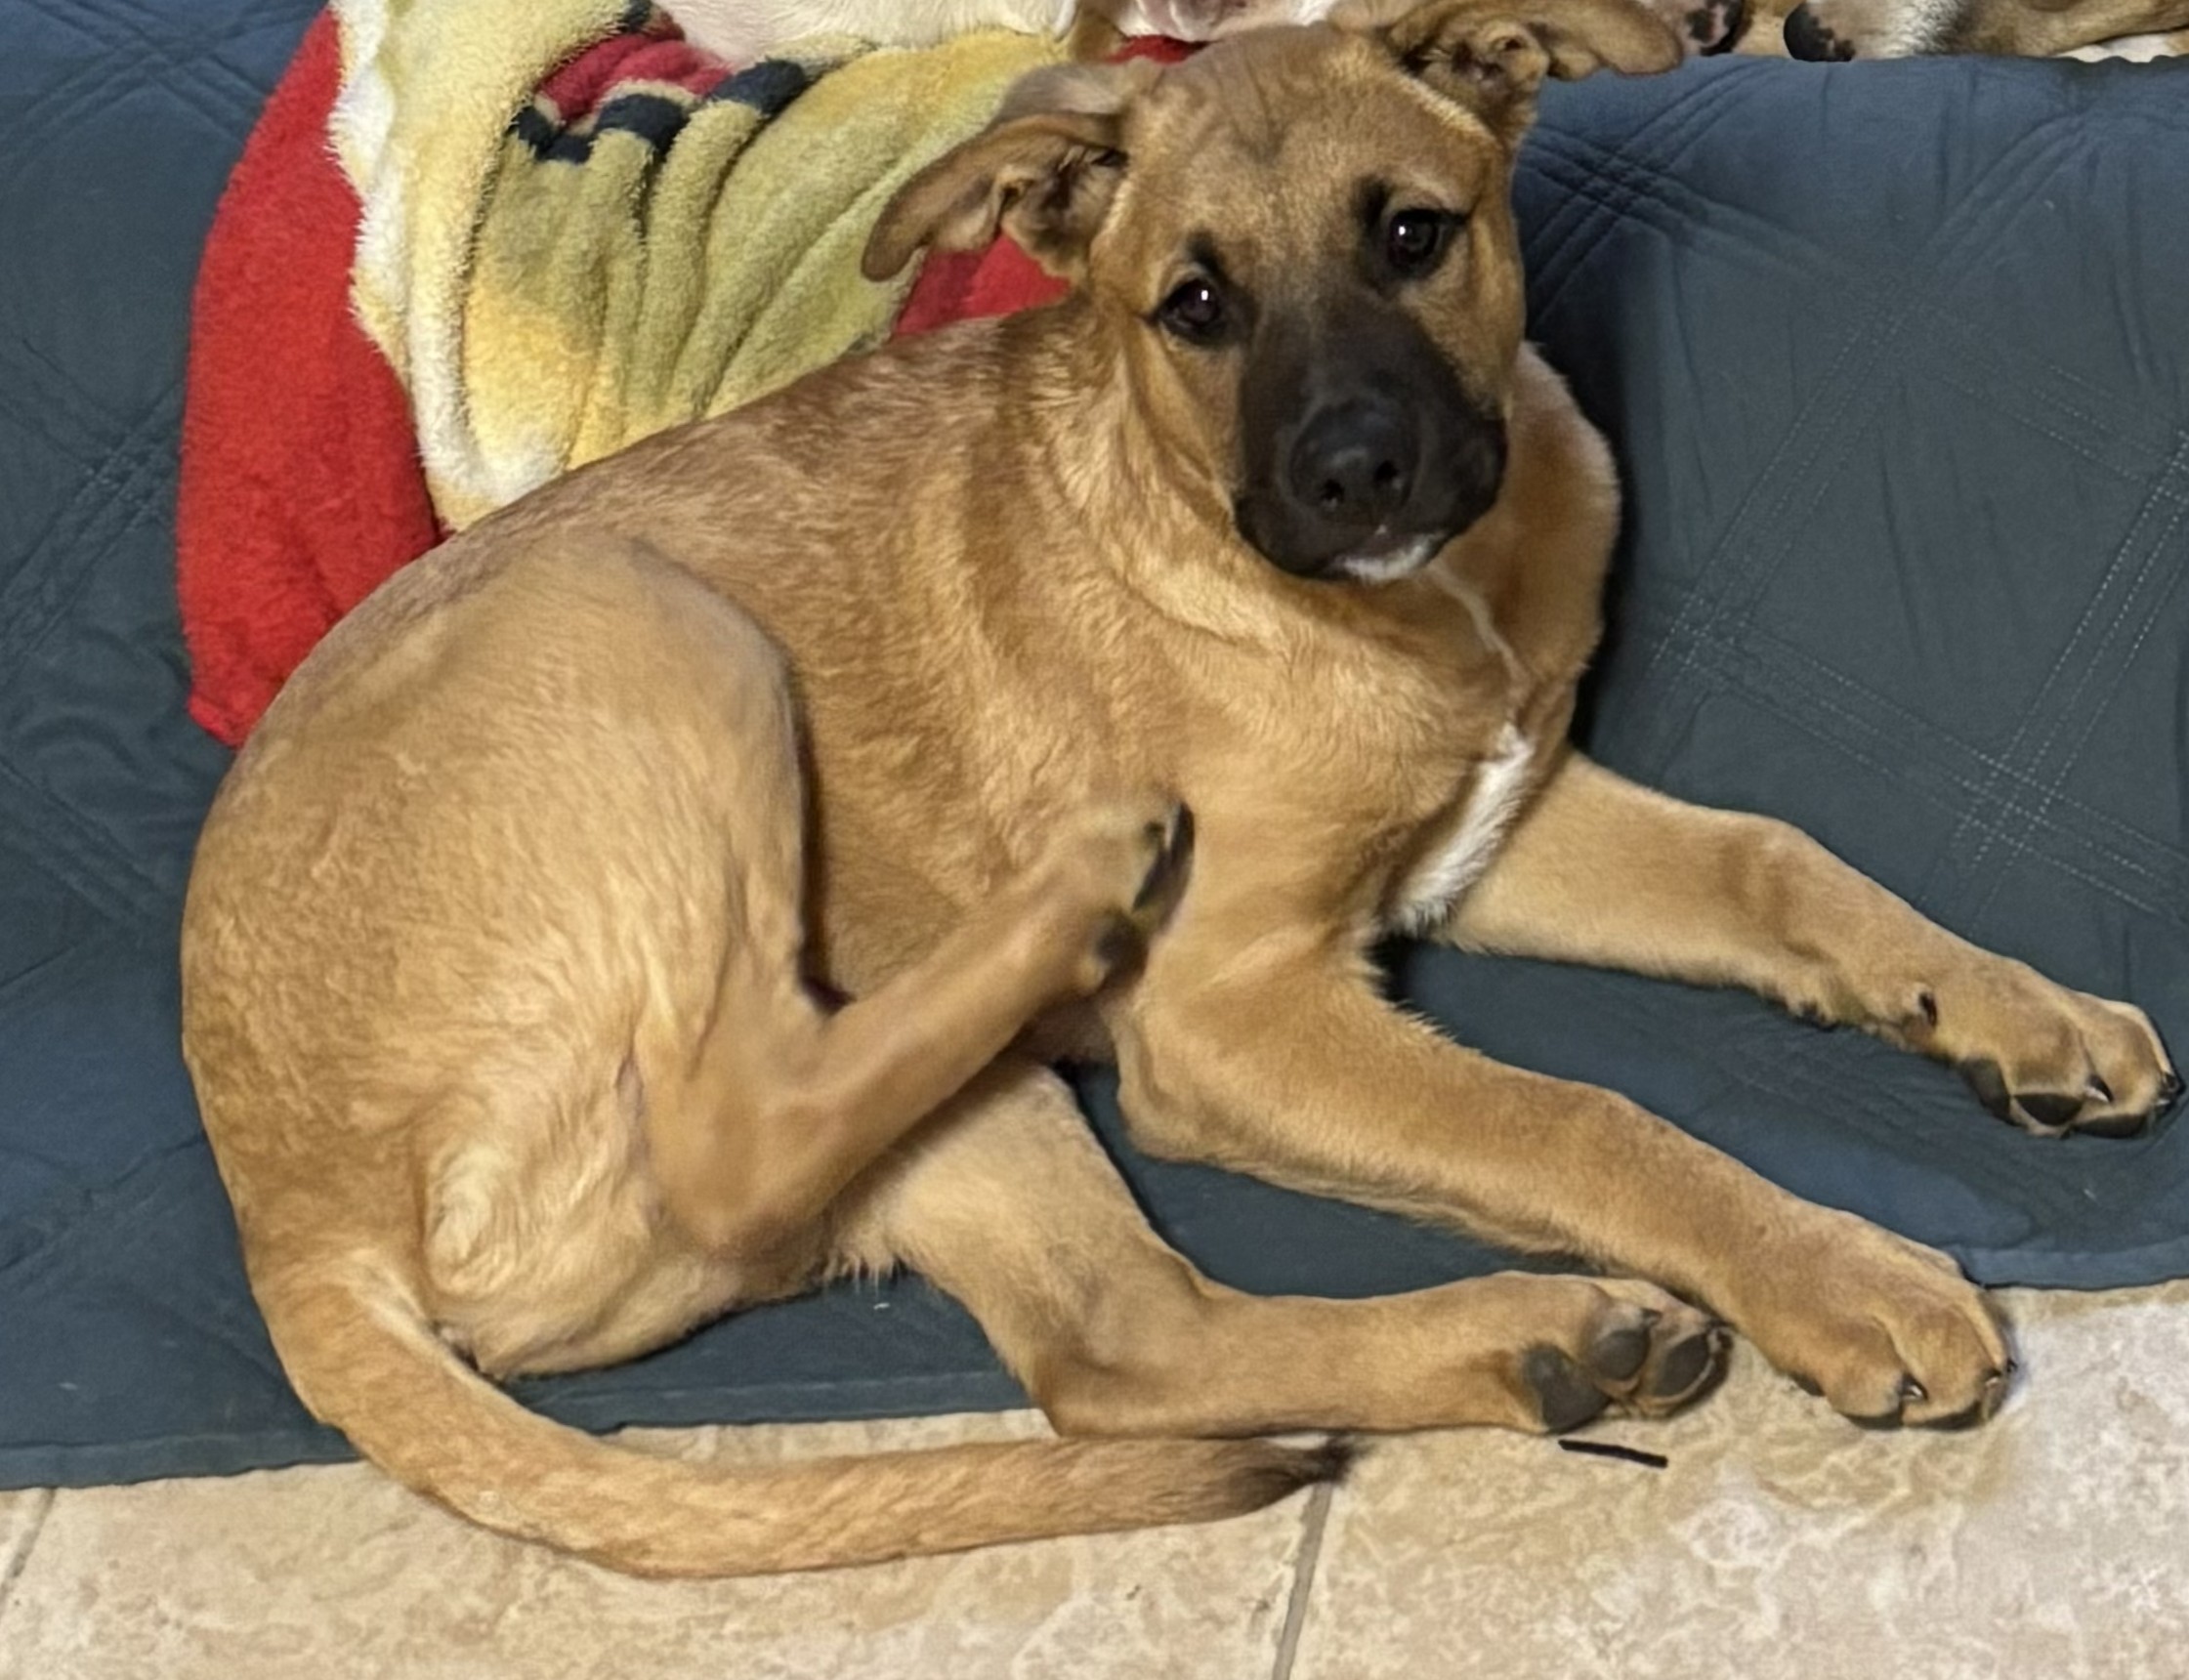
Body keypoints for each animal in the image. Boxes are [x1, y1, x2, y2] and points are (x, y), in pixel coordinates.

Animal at [181, 0, 2180, 1579]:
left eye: (1414, 235)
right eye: (1194, 307)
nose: (1356, 474)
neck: (1416, 603)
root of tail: (293, 1225)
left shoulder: (1498, 823)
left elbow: (1783, 863)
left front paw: (2021, 1012)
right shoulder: (1233, 1014)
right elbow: (1580, 1123)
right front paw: (1843, 1276)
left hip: (963, 1123)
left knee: (1114, 1348)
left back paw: (1541, 1344)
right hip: (643, 622)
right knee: (745, 1133)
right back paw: (1079, 902)